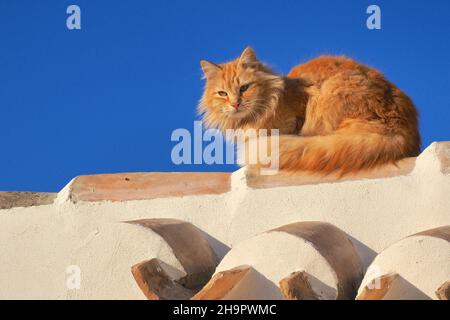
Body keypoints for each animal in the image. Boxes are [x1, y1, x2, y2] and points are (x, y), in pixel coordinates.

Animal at [199, 47, 420, 175]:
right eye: (222, 94)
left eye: (244, 88)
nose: (235, 104)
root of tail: (402, 129)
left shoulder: (298, 112)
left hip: (331, 92)